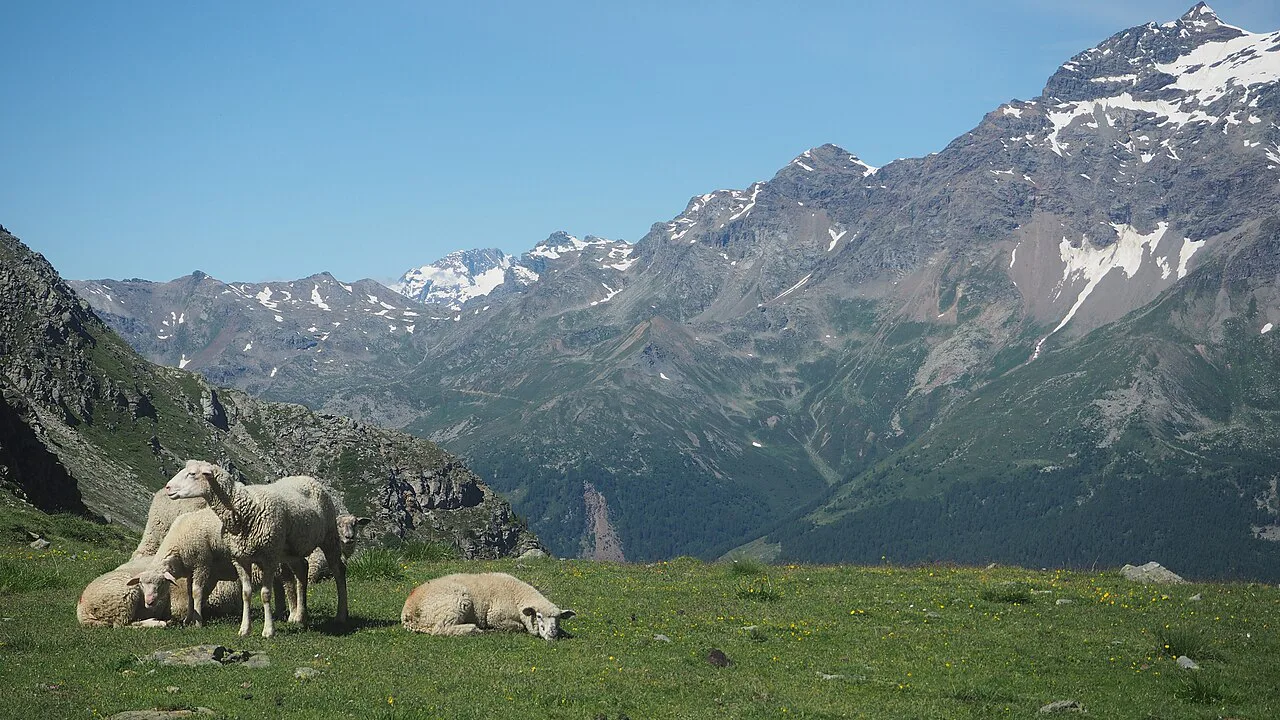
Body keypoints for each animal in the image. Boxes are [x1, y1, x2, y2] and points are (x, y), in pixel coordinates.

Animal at [162, 459, 347, 638]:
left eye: (192, 474)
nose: (167, 487)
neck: (246, 508)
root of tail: (308, 478)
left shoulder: (269, 557)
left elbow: (265, 593)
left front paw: (268, 630)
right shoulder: (240, 558)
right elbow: (246, 593)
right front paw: (245, 629)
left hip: (329, 536)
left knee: (338, 570)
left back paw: (341, 615)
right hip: (291, 550)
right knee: (302, 570)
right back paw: (300, 616)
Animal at [401, 572, 575, 640]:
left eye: (559, 619)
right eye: (538, 616)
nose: (552, 634)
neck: (517, 594)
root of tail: (407, 614)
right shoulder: (496, 616)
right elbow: (518, 626)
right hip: (456, 602)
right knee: (441, 629)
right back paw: (474, 629)